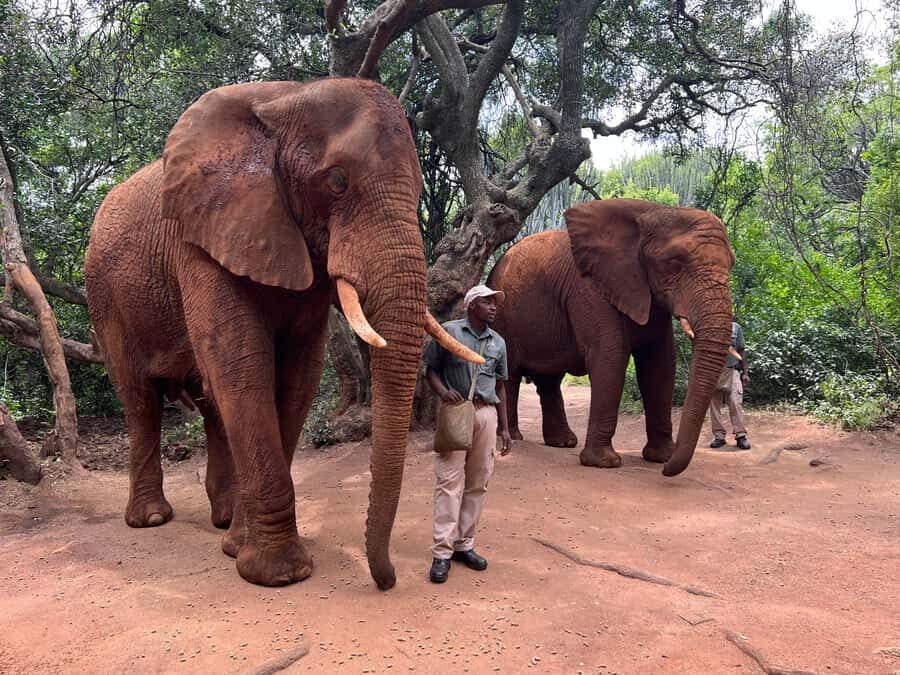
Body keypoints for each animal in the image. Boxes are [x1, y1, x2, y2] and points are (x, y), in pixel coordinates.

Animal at [84, 78, 481, 588]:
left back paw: (223, 521)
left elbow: (297, 378)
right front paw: (279, 574)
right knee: (141, 400)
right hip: (105, 298)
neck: (286, 99)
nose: (389, 578)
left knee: (208, 402)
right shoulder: (200, 239)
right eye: (336, 181)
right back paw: (151, 519)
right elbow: (242, 367)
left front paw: (237, 549)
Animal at [487, 198, 735, 477]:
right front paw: (603, 462)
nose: (666, 470)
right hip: (501, 312)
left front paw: (660, 457)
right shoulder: (589, 289)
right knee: (510, 374)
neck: (651, 212)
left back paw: (563, 442)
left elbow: (659, 362)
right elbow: (610, 355)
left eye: (732, 264)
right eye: (674, 264)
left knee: (550, 379)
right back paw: (513, 438)